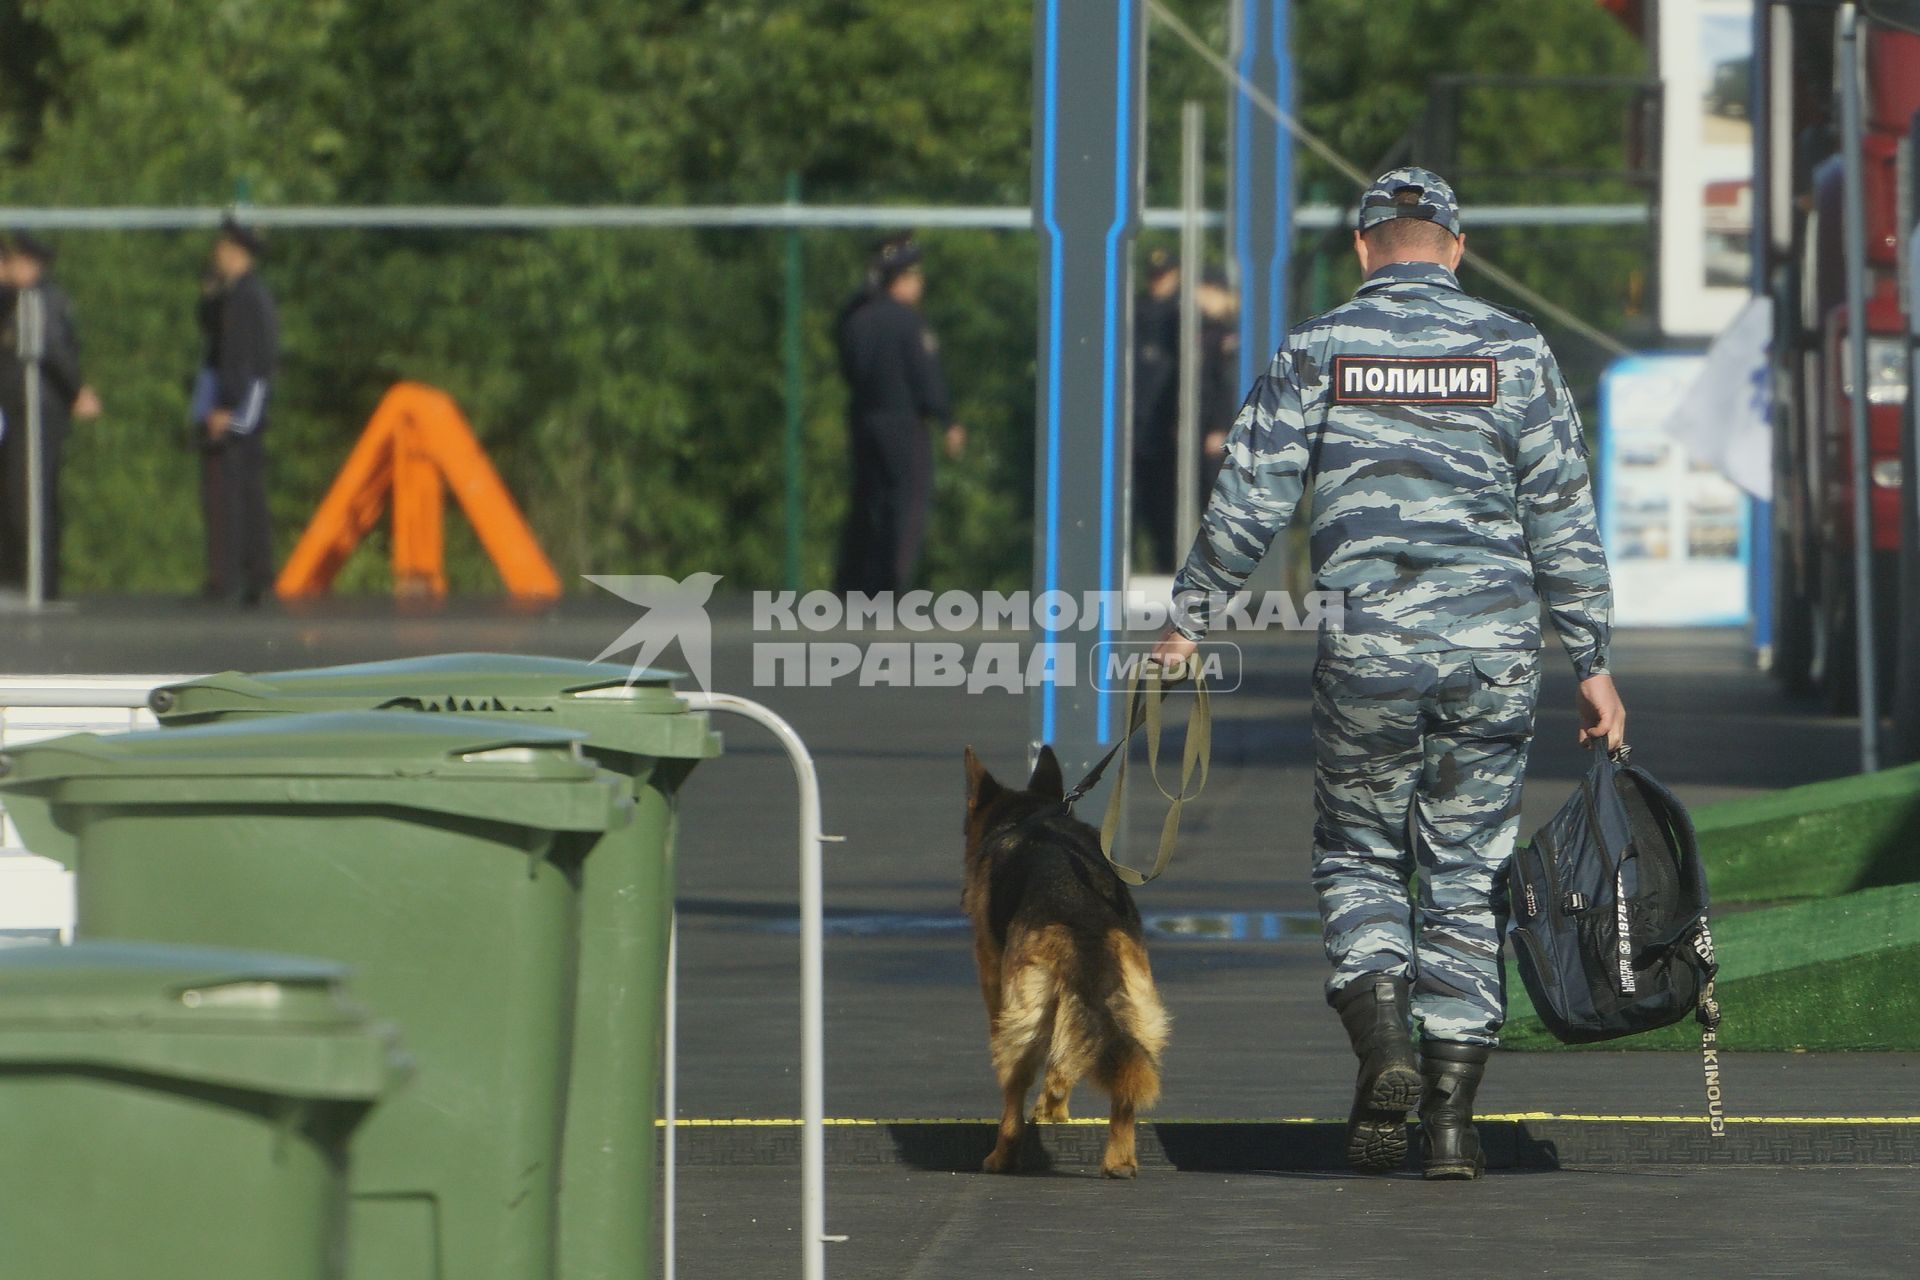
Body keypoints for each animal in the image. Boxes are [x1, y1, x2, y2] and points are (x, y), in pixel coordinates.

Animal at [960, 752, 1167, 1182]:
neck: (1028, 814)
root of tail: (1080, 916)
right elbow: (1065, 1060)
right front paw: (1054, 1106)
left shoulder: (992, 975)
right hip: (1142, 1012)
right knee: (1123, 1077)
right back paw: (1119, 1161)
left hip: (1019, 1020)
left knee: (1014, 1095)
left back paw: (1001, 1158)